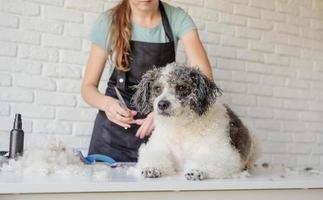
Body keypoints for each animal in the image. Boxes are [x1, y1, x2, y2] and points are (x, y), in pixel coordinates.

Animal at [130, 62, 260, 180]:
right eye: (157, 88)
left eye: (181, 87)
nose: (162, 104)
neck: (180, 127)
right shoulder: (157, 148)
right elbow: (154, 158)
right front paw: (151, 168)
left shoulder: (224, 154)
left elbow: (206, 161)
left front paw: (196, 170)